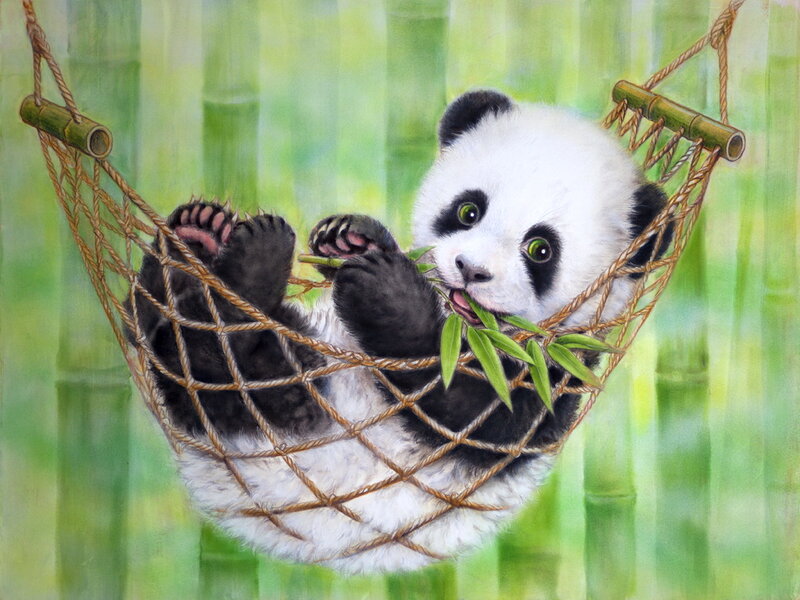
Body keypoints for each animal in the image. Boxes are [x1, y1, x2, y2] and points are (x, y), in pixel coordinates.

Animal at [130, 90, 667, 574]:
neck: (465, 329)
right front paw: (351, 238)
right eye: (468, 211)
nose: (470, 271)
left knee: (221, 366)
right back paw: (196, 236)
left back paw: (248, 265)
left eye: (540, 249)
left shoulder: (547, 379)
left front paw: (385, 291)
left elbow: (462, 410)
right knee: (159, 329)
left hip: (292, 413)